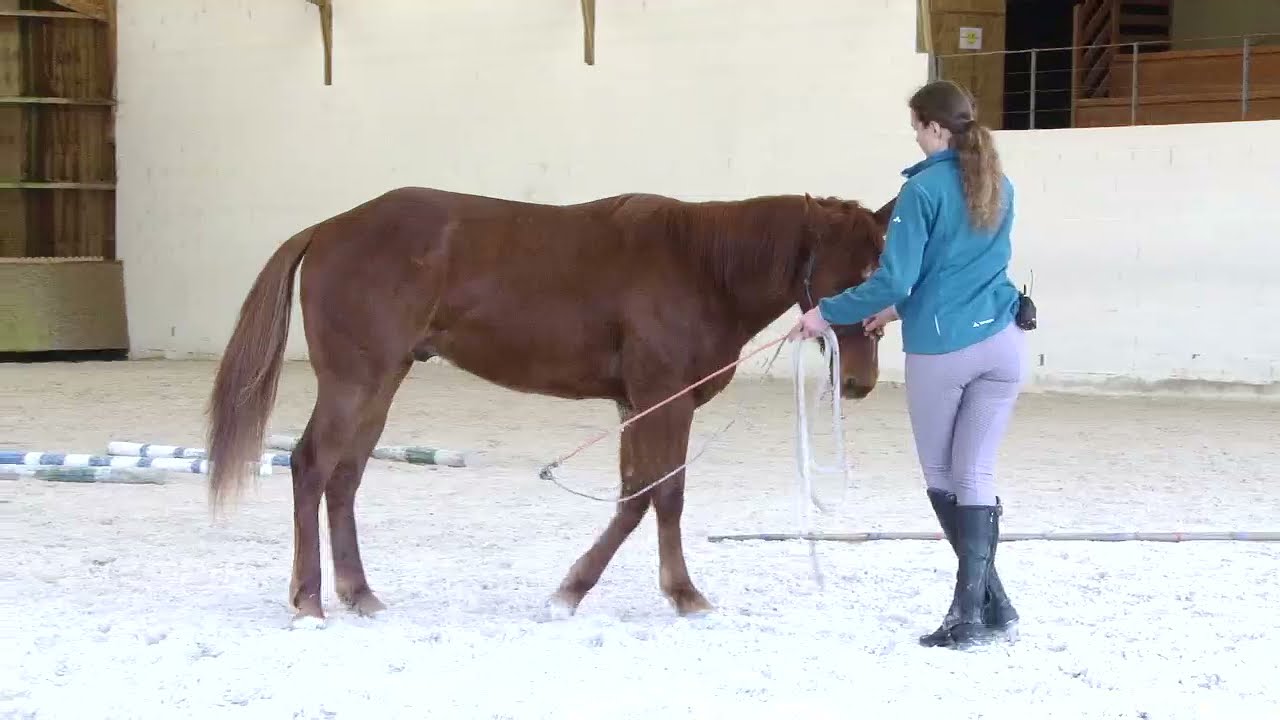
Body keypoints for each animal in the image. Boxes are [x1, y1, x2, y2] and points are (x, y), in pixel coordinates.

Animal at [205, 186, 895, 624]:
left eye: (882, 264)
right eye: (856, 275)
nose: (860, 382)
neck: (700, 267)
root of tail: (329, 228)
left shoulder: (635, 406)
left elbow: (635, 497)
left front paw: (575, 589)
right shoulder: (662, 401)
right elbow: (662, 495)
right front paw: (676, 595)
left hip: (381, 386)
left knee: (344, 480)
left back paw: (358, 593)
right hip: (354, 382)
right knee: (311, 468)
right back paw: (309, 601)